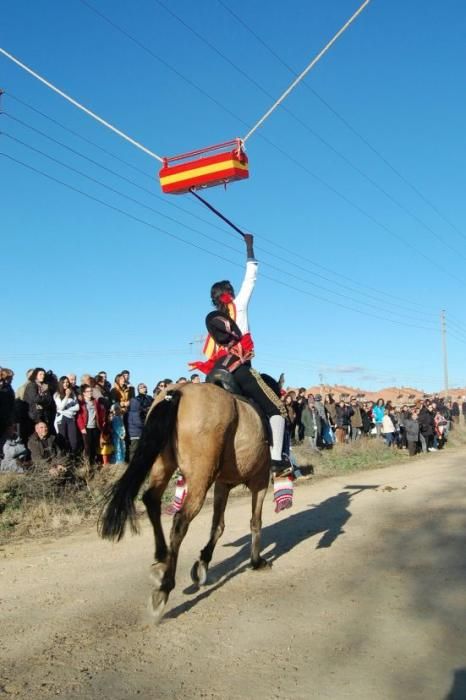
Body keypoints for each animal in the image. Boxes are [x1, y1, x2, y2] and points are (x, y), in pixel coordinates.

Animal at [100, 382, 272, 624]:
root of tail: (177, 392)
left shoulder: (223, 484)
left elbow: (218, 526)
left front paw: (203, 564)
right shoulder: (260, 481)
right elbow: (255, 522)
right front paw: (256, 561)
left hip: (164, 465)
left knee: (151, 500)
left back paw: (161, 559)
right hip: (200, 478)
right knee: (180, 521)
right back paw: (164, 587)